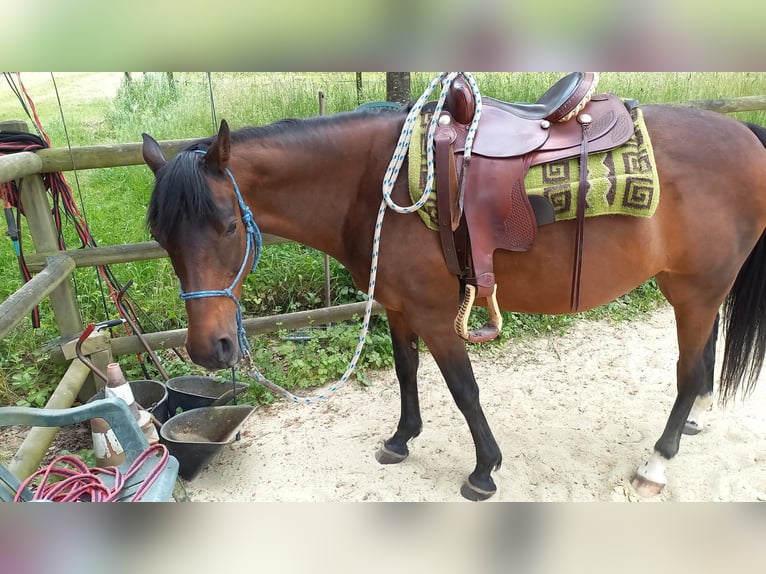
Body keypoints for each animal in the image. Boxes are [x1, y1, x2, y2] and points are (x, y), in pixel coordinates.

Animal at [141, 80, 766, 501]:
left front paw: (484, 469)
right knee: (701, 361)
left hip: (697, 289)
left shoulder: (436, 314)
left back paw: (657, 463)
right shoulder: (397, 307)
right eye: (161, 236)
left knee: (687, 371)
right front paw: (401, 439)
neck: (373, 182)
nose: (209, 348)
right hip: (694, 289)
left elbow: (464, 390)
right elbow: (406, 372)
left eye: (226, 225)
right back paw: (693, 420)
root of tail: (746, 135)